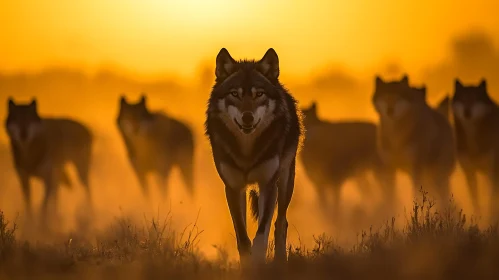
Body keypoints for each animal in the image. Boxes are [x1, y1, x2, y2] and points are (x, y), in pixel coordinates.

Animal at [204, 47, 304, 264]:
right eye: (235, 94)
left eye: (259, 94)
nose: (247, 117)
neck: (247, 150)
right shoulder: (233, 187)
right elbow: (243, 238)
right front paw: (247, 266)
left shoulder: (268, 184)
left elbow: (261, 235)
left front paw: (259, 263)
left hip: (285, 182)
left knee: (281, 223)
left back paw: (280, 261)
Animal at [372, 75, 458, 207]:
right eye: (385, 97)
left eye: (398, 97)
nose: (390, 110)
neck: (396, 137)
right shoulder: (390, 168)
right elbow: (390, 197)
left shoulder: (416, 169)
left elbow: (416, 195)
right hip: (428, 178)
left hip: (437, 177)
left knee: (445, 197)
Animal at [452, 79, 499, 217]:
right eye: (462, 98)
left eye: (475, 98)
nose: (467, 112)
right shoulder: (469, 172)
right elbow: (475, 200)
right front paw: (478, 217)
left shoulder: (493, 170)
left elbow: (492, 200)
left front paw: (490, 218)